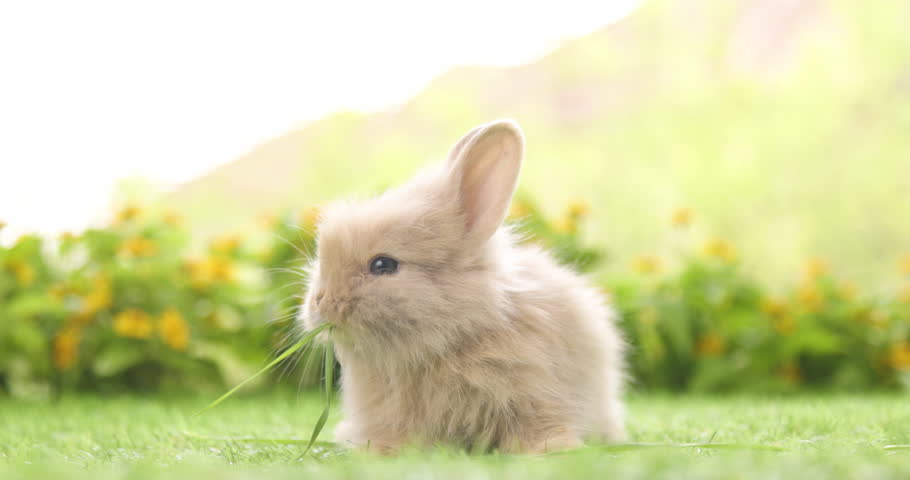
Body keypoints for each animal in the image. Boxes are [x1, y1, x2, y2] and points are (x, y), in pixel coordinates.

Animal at [300, 119, 628, 454]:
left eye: (383, 265)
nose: (321, 303)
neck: (452, 337)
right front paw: (380, 451)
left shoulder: (537, 396)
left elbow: (539, 425)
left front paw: (551, 448)